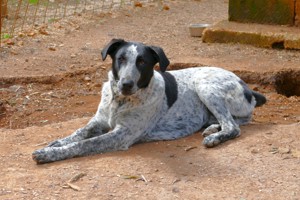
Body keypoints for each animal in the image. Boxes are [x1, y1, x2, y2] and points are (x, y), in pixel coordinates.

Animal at [32, 38, 268, 163]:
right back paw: (211, 128)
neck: (120, 101)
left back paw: (215, 137)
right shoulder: (98, 121)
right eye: (121, 59)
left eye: (142, 62)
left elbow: (84, 144)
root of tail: (247, 87)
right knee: (234, 121)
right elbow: (78, 133)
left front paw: (48, 153)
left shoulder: (120, 135)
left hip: (205, 85)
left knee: (233, 126)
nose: (126, 84)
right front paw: (56, 143)